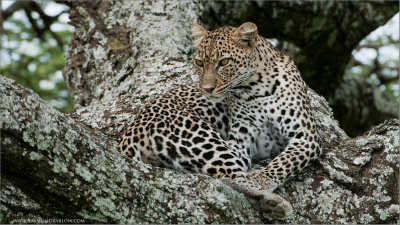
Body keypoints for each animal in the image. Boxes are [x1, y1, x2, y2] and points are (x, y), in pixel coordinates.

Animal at [119, 22, 322, 219]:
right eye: (199, 62)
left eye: (224, 62)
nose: (206, 89)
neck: (256, 88)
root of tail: (131, 134)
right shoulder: (241, 141)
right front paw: (258, 181)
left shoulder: (306, 136)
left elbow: (285, 161)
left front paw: (262, 178)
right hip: (200, 136)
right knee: (229, 175)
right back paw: (270, 202)